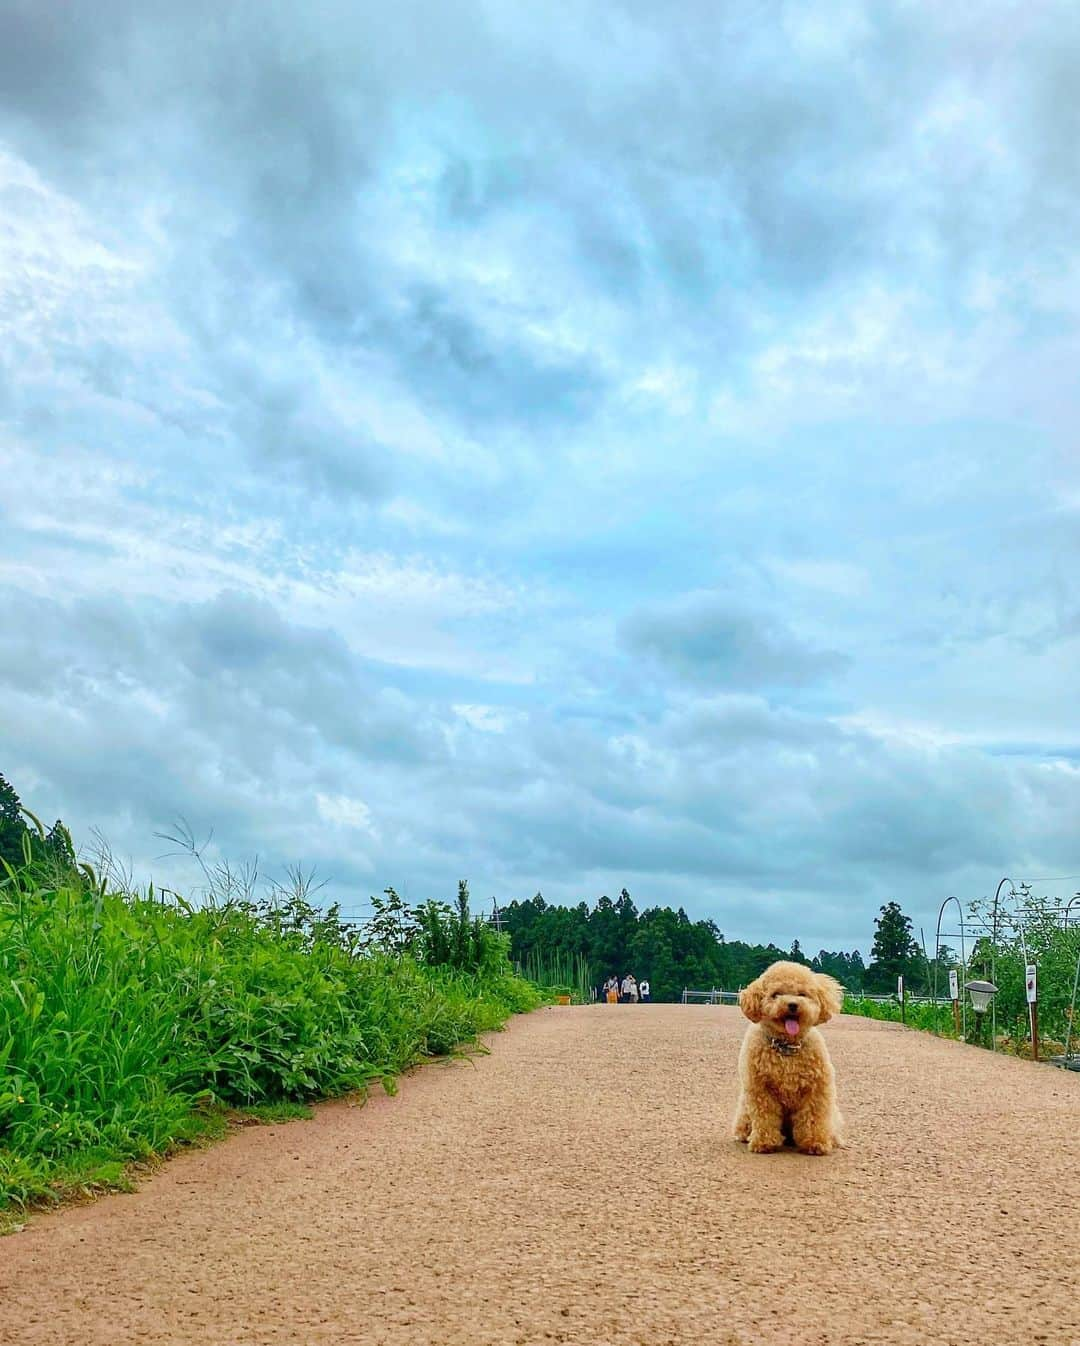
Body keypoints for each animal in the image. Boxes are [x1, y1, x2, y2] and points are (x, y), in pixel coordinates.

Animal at [732, 958, 840, 1157]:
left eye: (802, 994)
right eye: (776, 994)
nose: (792, 1005)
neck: (786, 1048)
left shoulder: (816, 1089)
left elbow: (813, 1117)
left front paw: (815, 1143)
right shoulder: (761, 1089)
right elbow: (765, 1116)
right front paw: (764, 1143)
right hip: (744, 1110)